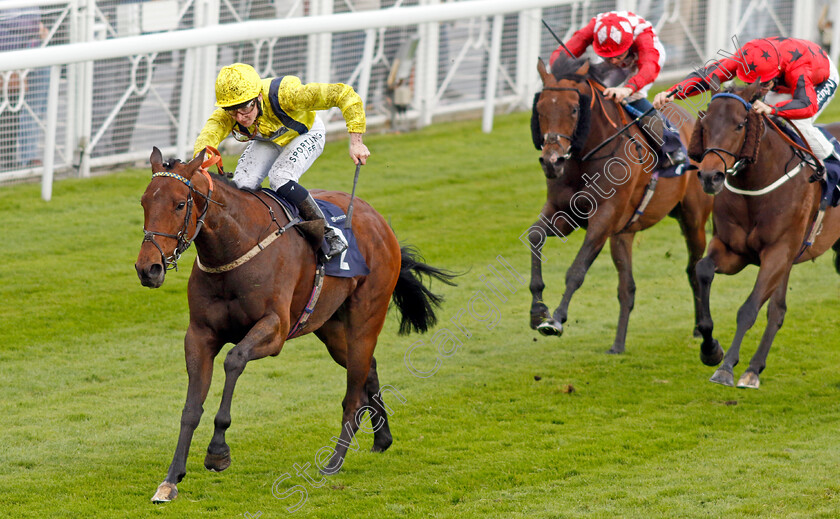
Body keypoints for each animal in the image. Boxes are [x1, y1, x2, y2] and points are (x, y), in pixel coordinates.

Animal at [135, 147, 456, 504]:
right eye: (144, 202)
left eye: (180, 204)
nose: (148, 268)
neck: (235, 246)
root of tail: (378, 220)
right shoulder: (200, 336)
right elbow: (191, 408)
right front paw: (170, 480)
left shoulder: (274, 329)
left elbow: (234, 360)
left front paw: (218, 452)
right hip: (331, 328)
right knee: (367, 368)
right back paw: (381, 438)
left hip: (366, 318)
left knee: (353, 391)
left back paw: (333, 462)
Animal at [528, 54, 712, 356]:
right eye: (540, 109)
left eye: (574, 109)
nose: (552, 161)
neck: (585, 158)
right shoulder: (563, 213)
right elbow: (535, 236)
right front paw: (537, 310)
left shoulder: (603, 219)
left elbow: (576, 270)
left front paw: (555, 319)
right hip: (624, 233)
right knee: (628, 288)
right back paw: (618, 344)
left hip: (693, 219)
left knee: (694, 269)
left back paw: (699, 328)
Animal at [688, 83, 840, 388]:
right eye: (705, 124)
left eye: (739, 125)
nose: (710, 176)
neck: (755, 185)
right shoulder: (733, 250)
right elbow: (704, 270)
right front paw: (711, 350)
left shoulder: (777, 252)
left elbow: (748, 309)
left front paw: (726, 368)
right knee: (777, 311)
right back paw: (754, 368)